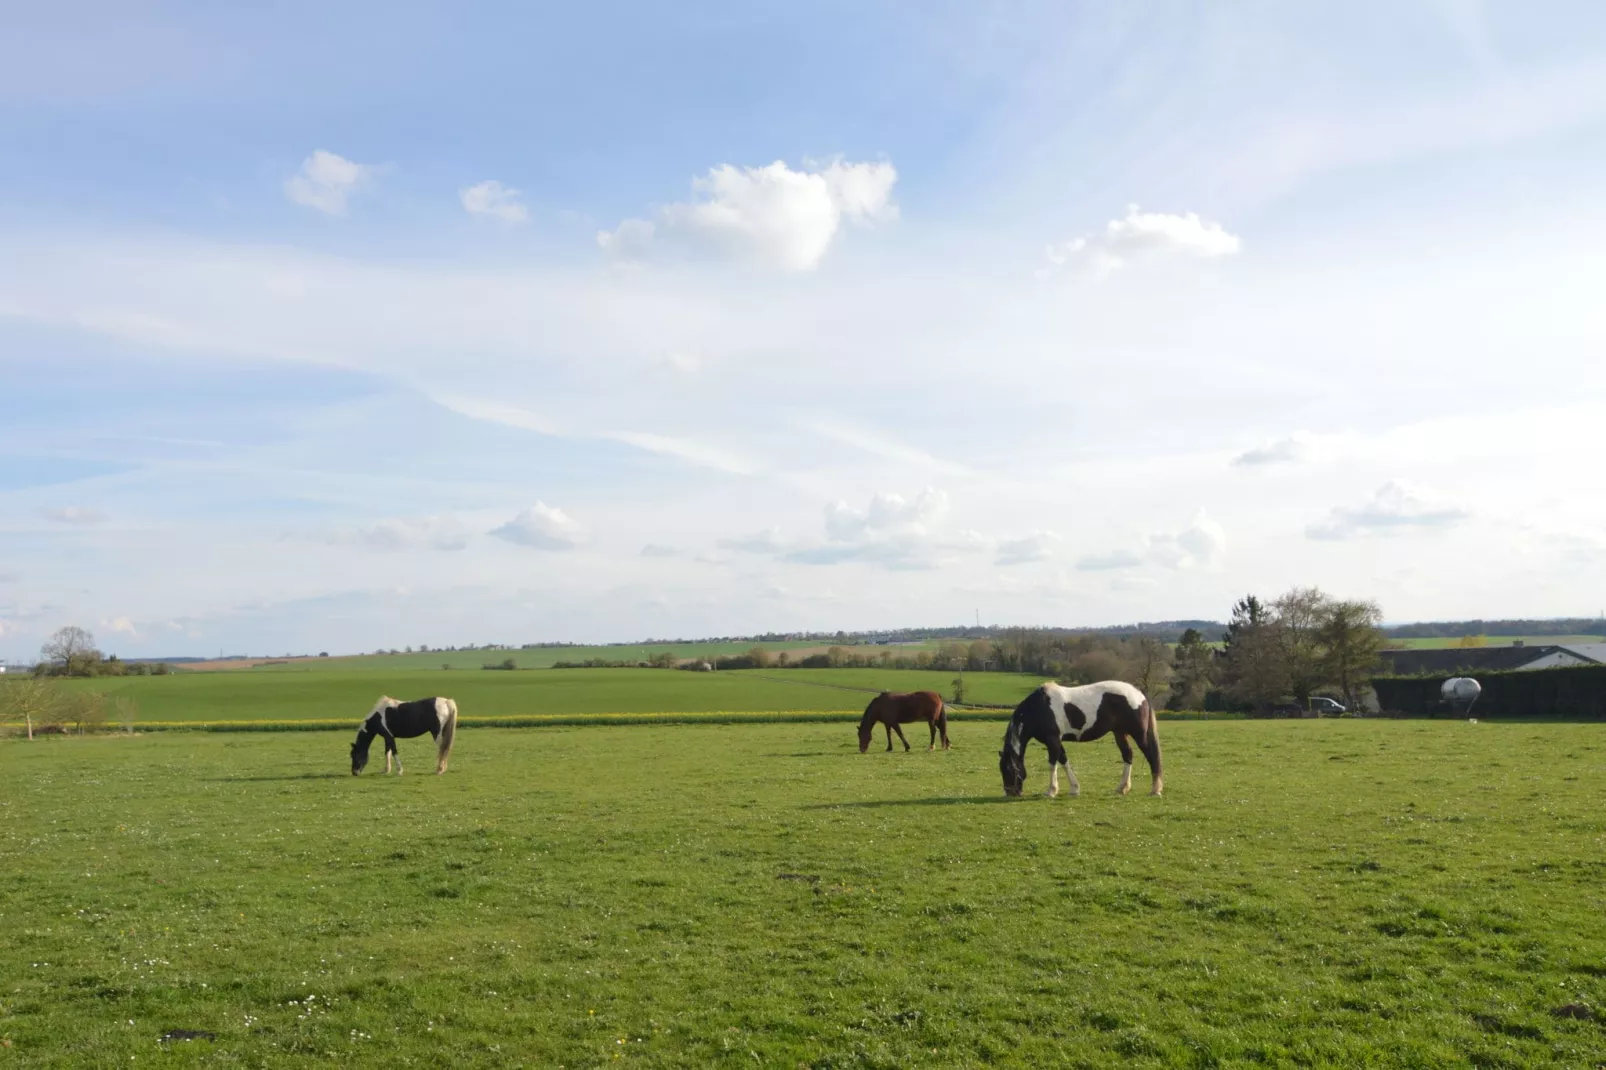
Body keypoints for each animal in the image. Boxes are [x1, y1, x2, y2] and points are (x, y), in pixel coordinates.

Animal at [995, 677, 1162, 796]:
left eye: (1009, 769)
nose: (1011, 793)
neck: (1040, 707)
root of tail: (1139, 694)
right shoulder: (1056, 741)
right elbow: (1064, 761)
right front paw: (1074, 788)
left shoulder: (1052, 740)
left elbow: (1052, 764)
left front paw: (1051, 791)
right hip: (1120, 733)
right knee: (1128, 755)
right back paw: (1123, 788)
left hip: (1138, 735)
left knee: (1152, 756)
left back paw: (1155, 790)